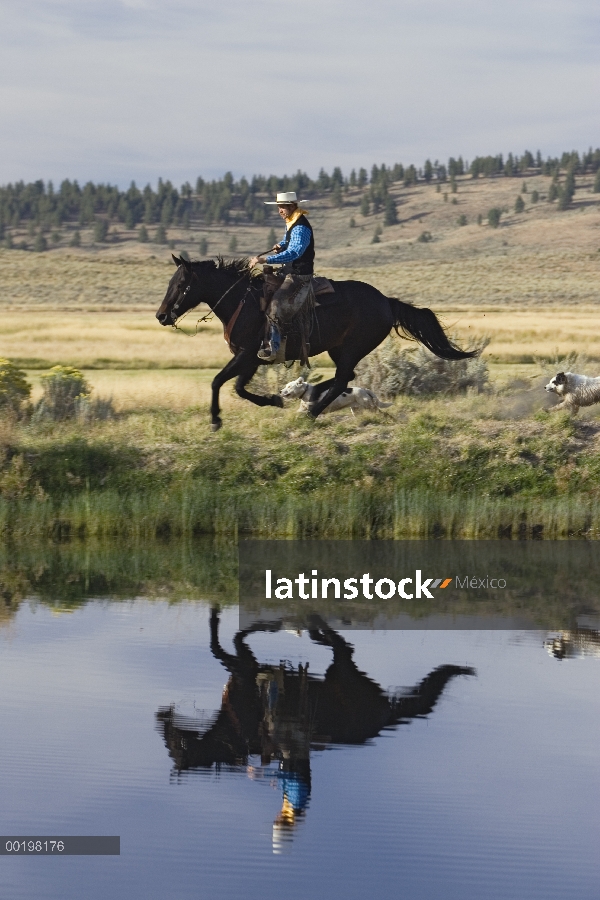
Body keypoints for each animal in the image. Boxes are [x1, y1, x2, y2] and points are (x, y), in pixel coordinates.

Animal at [157, 256, 476, 432]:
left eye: (181, 285)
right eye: (169, 283)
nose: (161, 315)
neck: (242, 303)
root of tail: (387, 301)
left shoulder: (246, 355)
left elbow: (217, 381)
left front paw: (215, 420)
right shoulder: (253, 358)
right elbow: (238, 388)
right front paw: (273, 399)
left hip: (351, 348)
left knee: (343, 378)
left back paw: (312, 411)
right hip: (339, 349)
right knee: (342, 378)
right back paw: (312, 398)